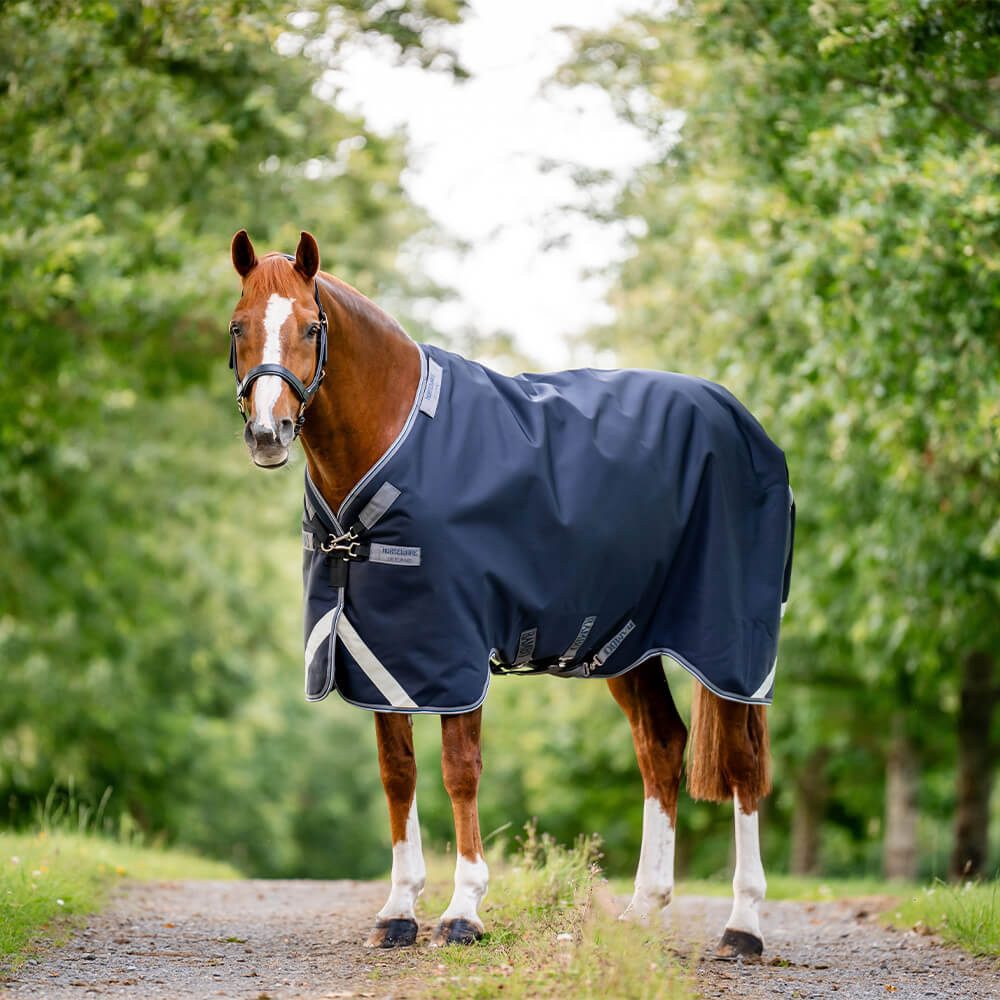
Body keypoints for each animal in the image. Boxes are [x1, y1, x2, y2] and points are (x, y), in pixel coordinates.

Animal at [227, 229, 791, 956]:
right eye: (238, 326)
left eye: (310, 326)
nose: (267, 434)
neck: (396, 437)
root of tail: (741, 420)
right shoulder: (380, 653)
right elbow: (397, 773)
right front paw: (398, 910)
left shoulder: (454, 649)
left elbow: (459, 769)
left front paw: (464, 909)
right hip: (628, 646)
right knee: (661, 747)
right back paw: (643, 911)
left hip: (732, 649)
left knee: (744, 764)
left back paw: (742, 925)